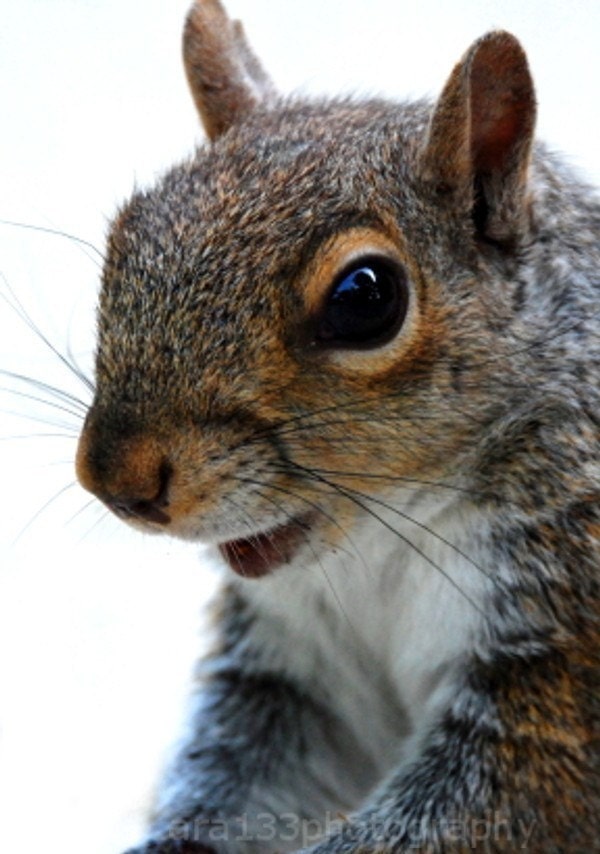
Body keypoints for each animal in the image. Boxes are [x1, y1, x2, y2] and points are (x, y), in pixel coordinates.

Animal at [74, 0, 600, 851]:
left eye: (366, 297)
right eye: (126, 236)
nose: (116, 478)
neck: (379, 544)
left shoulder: (560, 664)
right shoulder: (294, 675)